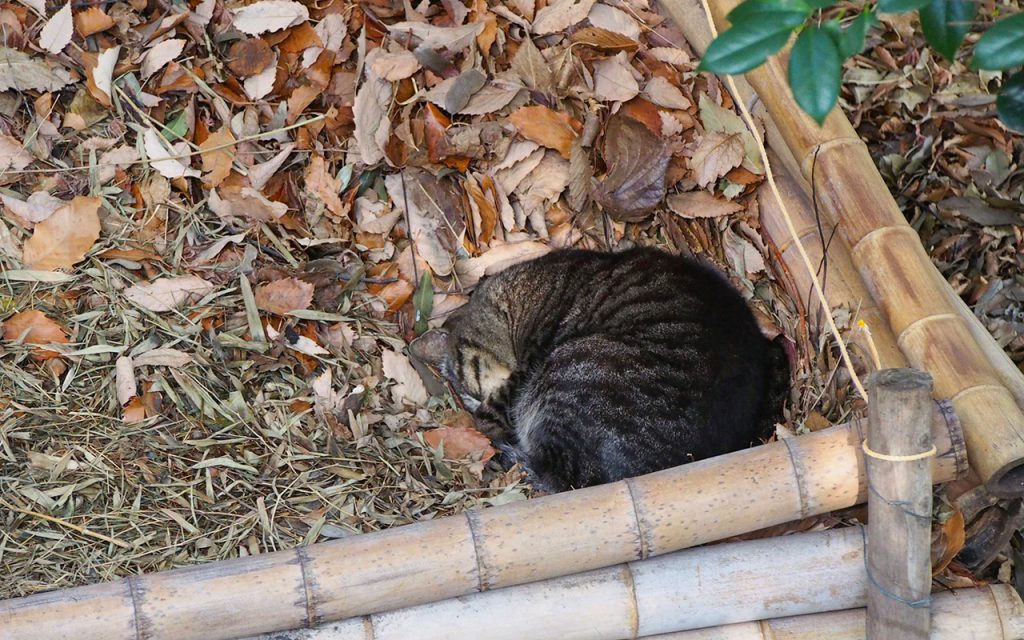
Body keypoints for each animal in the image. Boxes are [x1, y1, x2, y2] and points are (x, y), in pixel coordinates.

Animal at [409, 246, 790, 491]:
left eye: (468, 391)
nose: (473, 407)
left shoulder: (521, 373)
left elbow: (496, 410)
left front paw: (486, 421)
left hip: (568, 367)